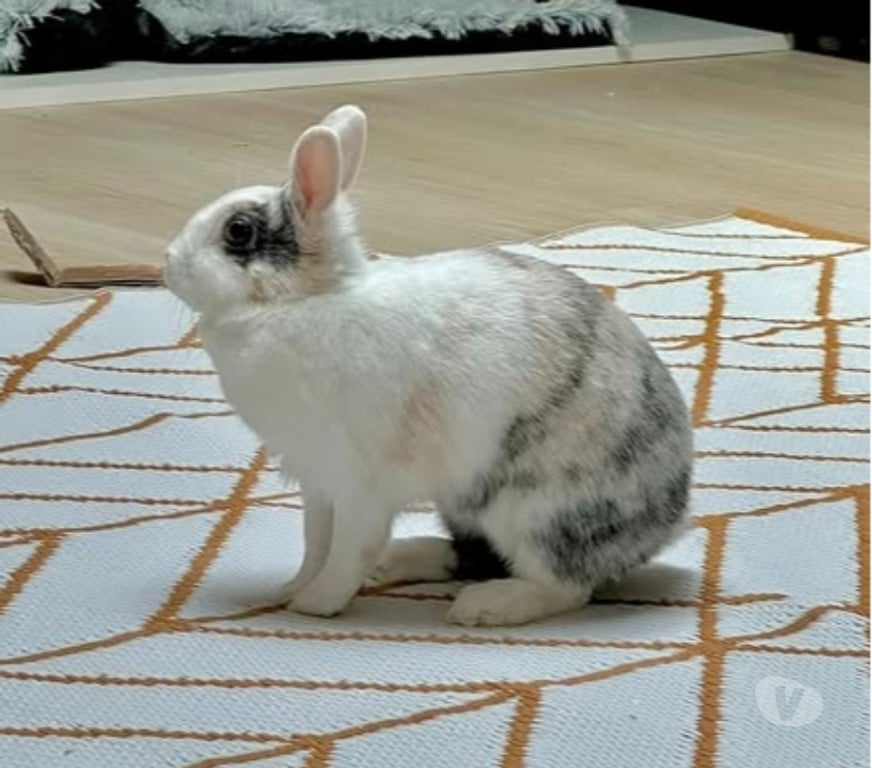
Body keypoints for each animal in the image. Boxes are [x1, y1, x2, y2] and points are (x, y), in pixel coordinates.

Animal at [164, 105, 694, 627]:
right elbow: (316, 542)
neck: (301, 303)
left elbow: (348, 549)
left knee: (562, 586)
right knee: (471, 555)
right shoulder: (317, 480)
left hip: (534, 514)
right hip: (465, 506)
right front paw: (292, 588)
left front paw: (316, 604)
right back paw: (402, 560)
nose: (168, 262)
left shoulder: (358, 483)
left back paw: (484, 606)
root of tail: (665, 522)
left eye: (238, 231)